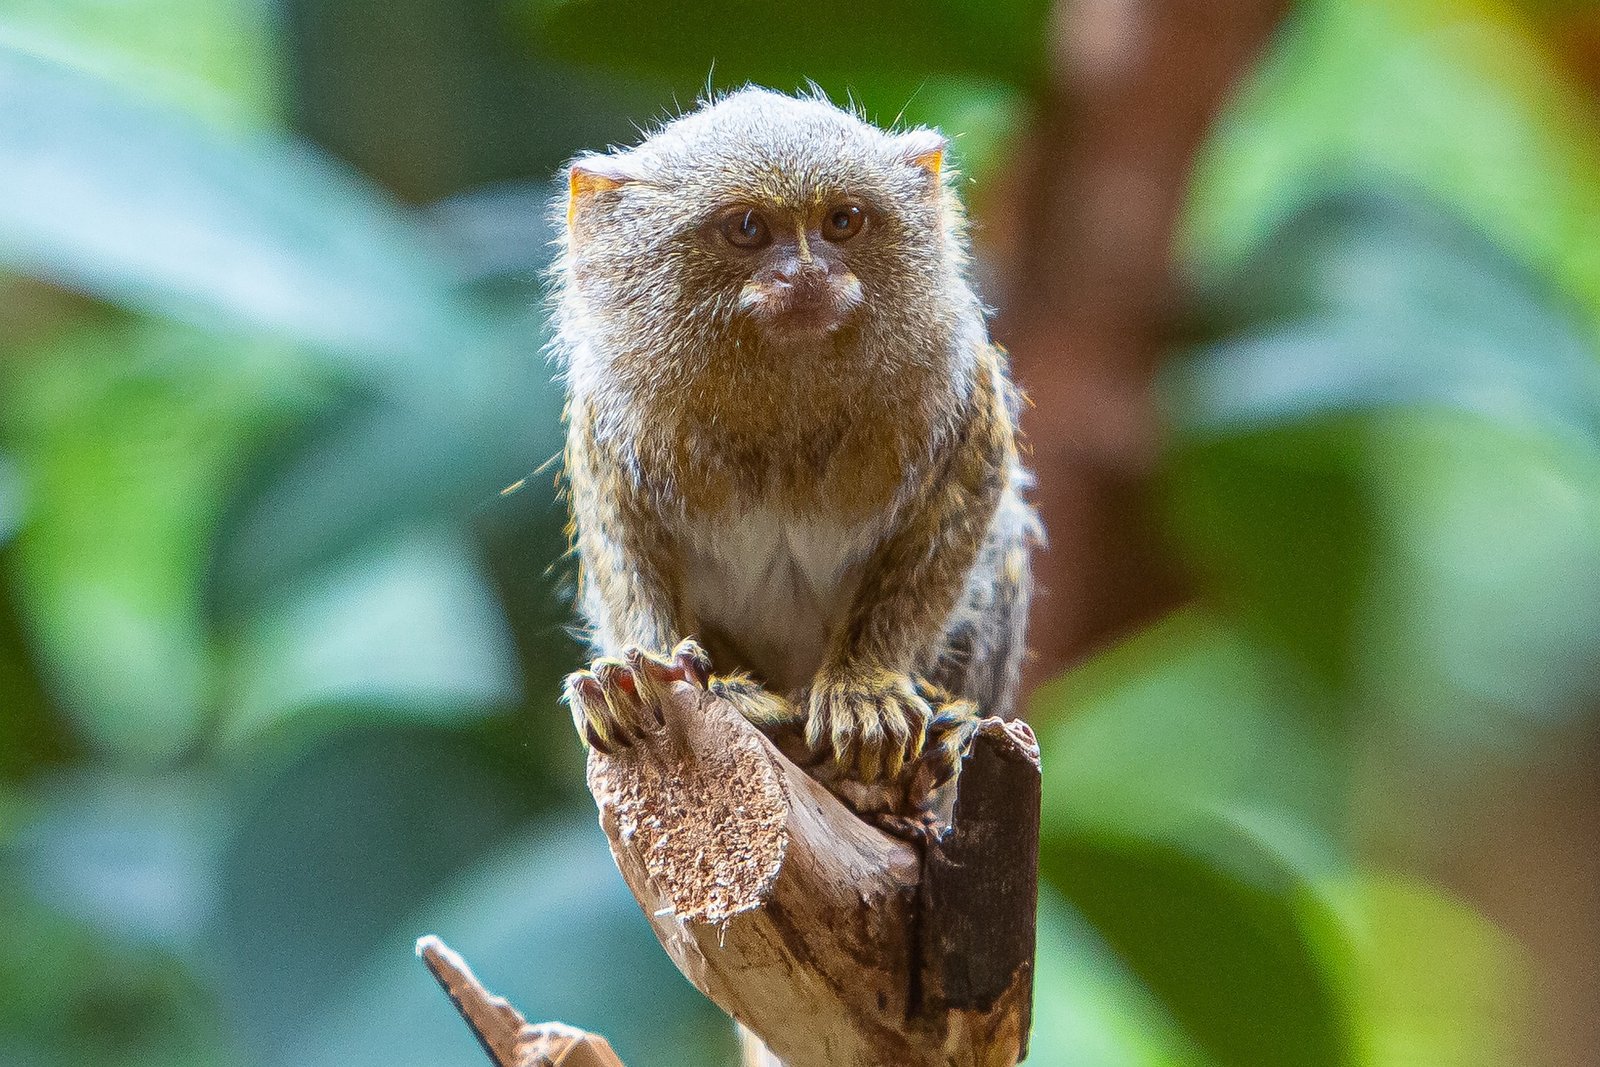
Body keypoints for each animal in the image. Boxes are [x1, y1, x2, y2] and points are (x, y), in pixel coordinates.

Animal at [552, 87, 1039, 819]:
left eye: (842, 222)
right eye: (749, 228)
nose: (807, 272)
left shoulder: (964, 392)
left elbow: (959, 516)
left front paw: (866, 691)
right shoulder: (607, 425)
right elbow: (623, 546)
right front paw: (633, 678)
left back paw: (951, 728)